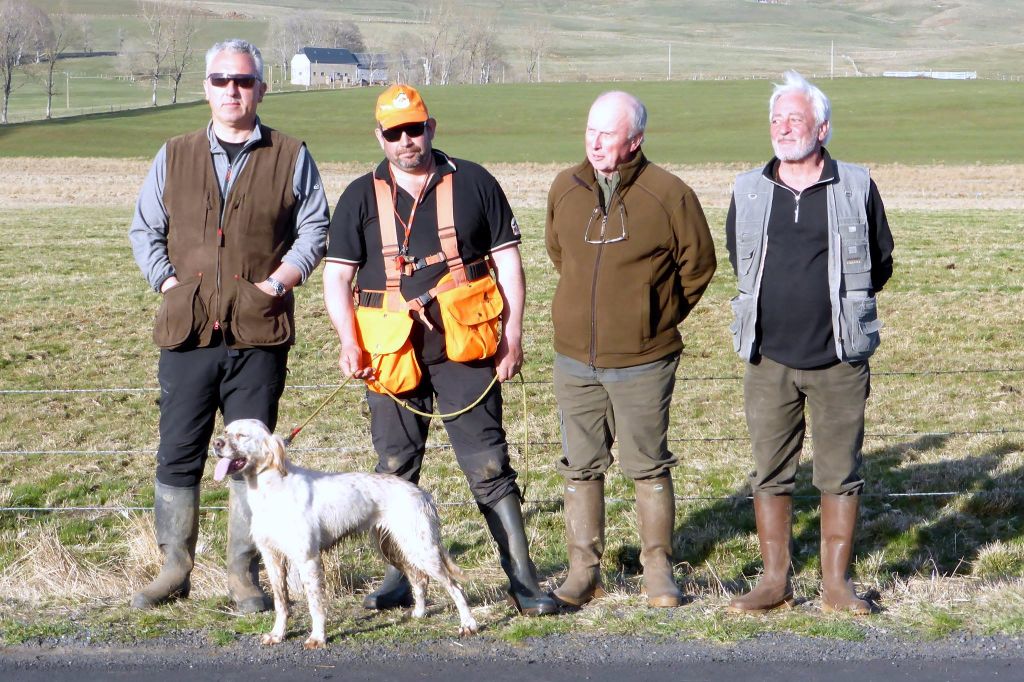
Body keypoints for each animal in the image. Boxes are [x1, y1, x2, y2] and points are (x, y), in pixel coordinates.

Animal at [210, 417, 479, 647]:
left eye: (242, 435)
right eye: (225, 431)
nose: (216, 443)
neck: (272, 489)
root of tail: (422, 493)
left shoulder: (308, 559)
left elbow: (315, 603)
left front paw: (317, 638)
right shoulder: (272, 557)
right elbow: (281, 602)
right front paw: (277, 635)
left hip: (421, 548)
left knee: (455, 587)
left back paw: (468, 625)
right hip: (393, 547)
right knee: (419, 579)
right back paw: (419, 613)